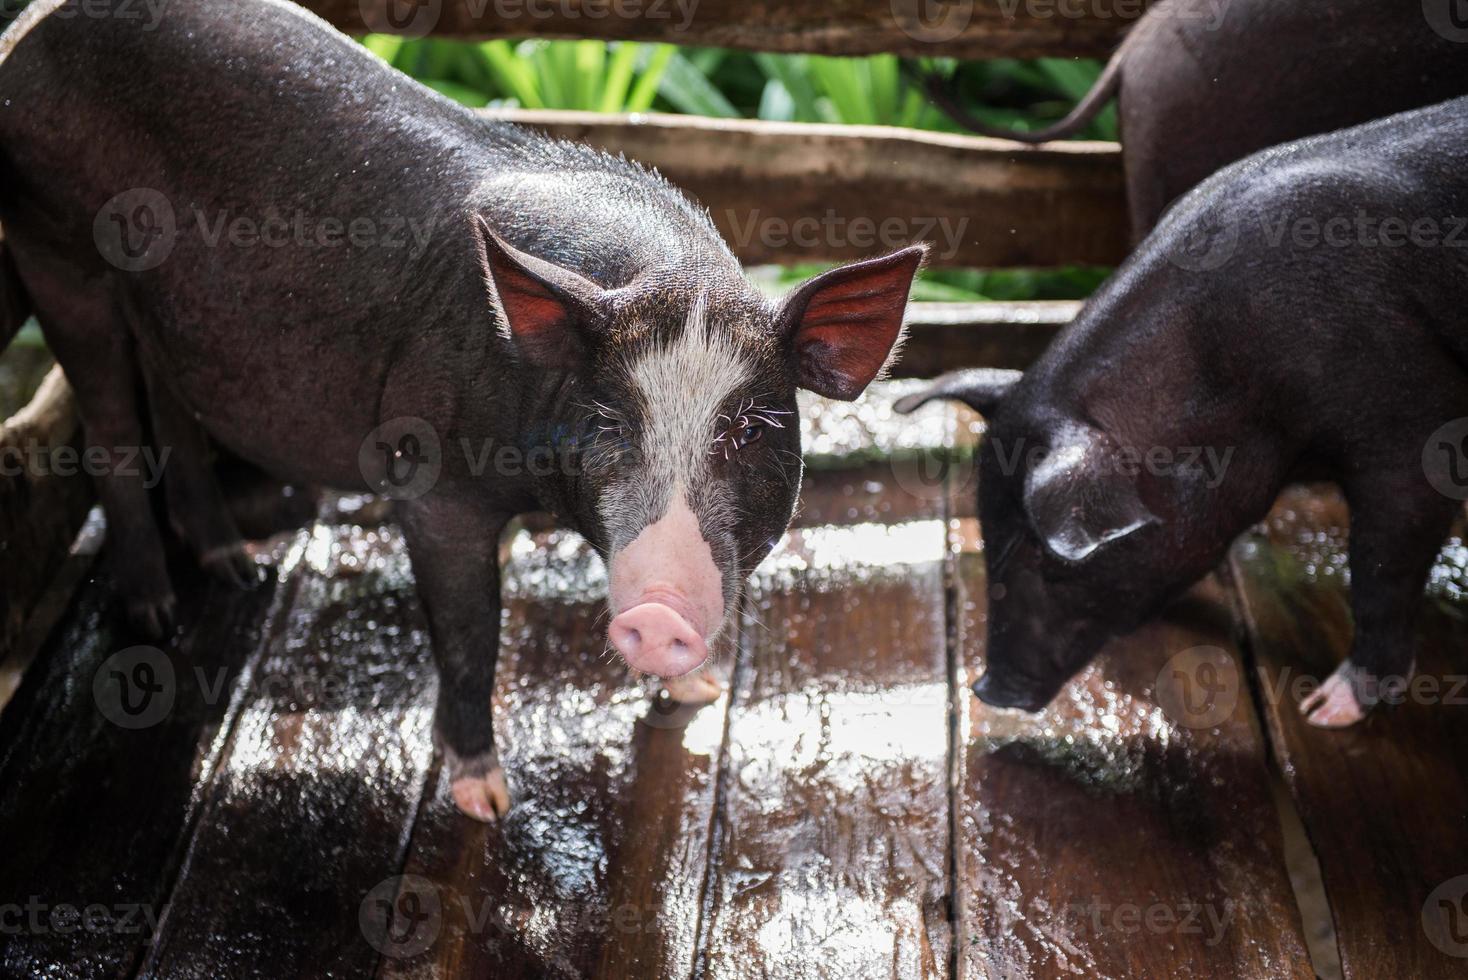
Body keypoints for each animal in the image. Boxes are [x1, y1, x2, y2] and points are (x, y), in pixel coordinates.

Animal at [0, 0, 916, 821]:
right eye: (612, 423)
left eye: (748, 429)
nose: (658, 612)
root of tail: (32, 26)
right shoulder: (432, 481)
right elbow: (474, 631)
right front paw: (487, 802)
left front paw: (700, 690)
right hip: (53, 247)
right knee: (108, 421)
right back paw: (155, 610)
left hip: (159, 301)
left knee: (169, 395)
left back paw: (236, 568)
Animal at [892, 97, 1468, 727]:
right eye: (988, 536)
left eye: (1050, 564)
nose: (990, 689)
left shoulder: (1413, 416)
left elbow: (1381, 563)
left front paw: (1322, 710)